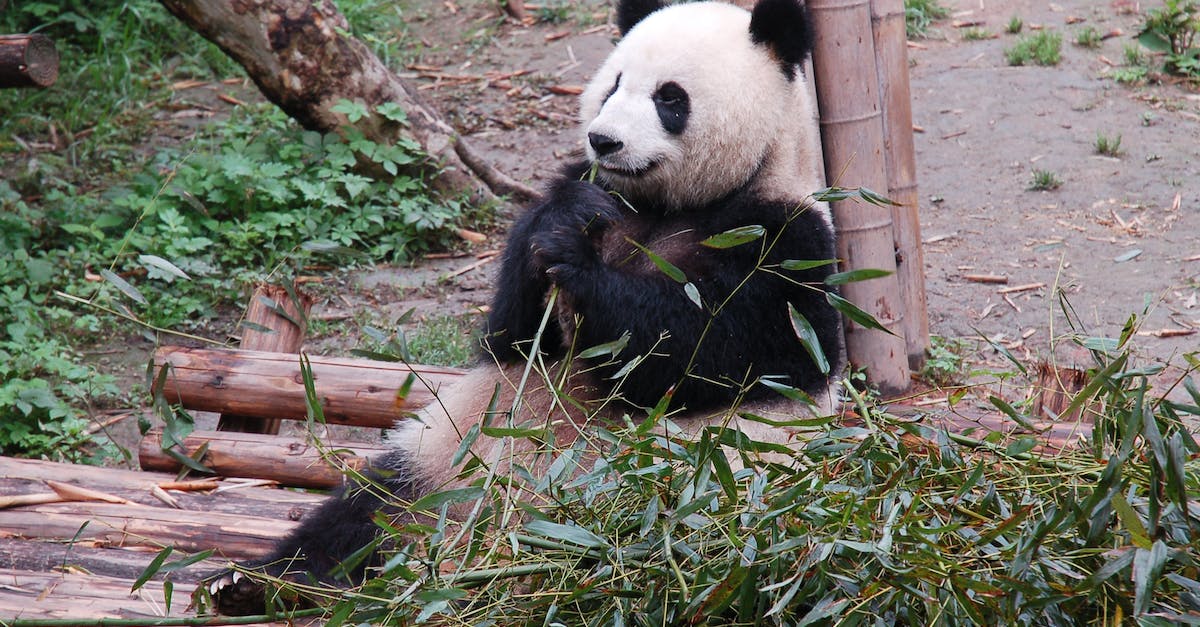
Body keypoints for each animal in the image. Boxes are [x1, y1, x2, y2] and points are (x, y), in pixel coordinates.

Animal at [211, 0, 842, 615]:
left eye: (670, 98)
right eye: (613, 85)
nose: (604, 141)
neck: (670, 206)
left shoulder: (784, 244)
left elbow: (696, 351)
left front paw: (582, 270)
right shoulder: (601, 200)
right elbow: (511, 332)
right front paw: (564, 222)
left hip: (681, 506)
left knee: (631, 551)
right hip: (443, 459)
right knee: (367, 512)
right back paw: (258, 583)